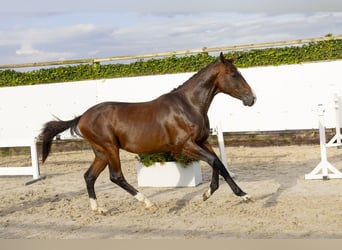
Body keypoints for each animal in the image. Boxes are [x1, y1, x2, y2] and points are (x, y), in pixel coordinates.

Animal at [40, 52, 255, 213]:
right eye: (234, 75)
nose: (252, 98)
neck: (188, 105)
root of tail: (82, 117)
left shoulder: (202, 142)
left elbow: (219, 163)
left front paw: (239, 195)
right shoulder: (184, 146)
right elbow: (214, 162)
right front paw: (213, 193)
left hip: (100, 152)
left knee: (89, 176)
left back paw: (98, 209)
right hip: (110, 148)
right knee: (116, 176)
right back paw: (148, 203)